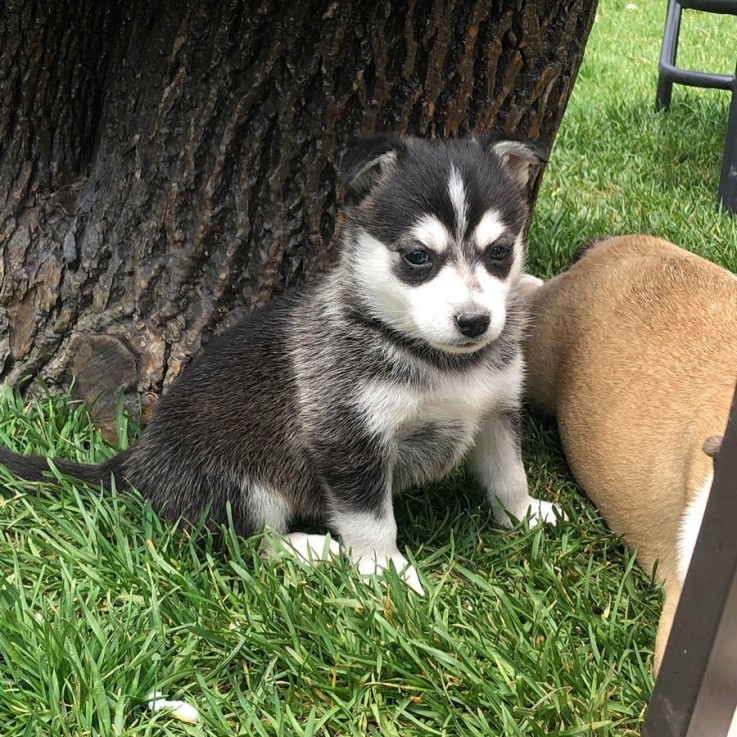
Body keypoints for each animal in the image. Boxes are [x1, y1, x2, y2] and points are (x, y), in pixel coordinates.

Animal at [1, 132, 564, 592]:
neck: (440, 362)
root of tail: (137, 462)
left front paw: (525, 516)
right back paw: (312, 549)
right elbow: (372, 520)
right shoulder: (346, 438)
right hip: (239, 484)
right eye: (417, 257)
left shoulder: (494, 411)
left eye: (499, 251)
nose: (475, 322)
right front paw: (385, 574)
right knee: (247, 542)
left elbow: (509, 472)